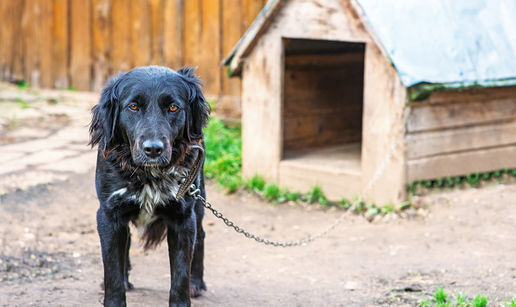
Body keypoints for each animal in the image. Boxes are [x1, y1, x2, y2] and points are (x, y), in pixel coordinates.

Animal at [88, 66, 210, 306]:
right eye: (133, 106)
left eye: (173, 107)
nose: (153, 149)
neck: (148, 175)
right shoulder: (108, 214)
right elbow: (112, 271)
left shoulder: (183, 217)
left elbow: (180, 276)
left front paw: (186, 290)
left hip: (199, 201)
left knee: (200, 237)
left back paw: (196, 283)